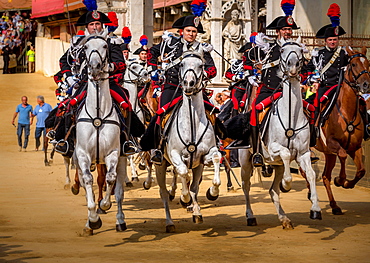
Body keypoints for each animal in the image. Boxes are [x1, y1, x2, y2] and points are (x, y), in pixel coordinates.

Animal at [75, 29, 127, 236]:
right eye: (86, 48)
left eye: (105, 46)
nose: (95, 67)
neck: (97, 113)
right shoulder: (82, 154)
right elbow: (87, 180)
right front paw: (93, 220)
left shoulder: (113, 153)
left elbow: (111, 180)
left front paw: (104, 205)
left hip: (122, 158)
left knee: (118, 189)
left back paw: (120, 220)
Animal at [155, 51, 221, 233]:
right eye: (181, 64)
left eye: (201, 65)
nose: (188, 84)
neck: (192, 122)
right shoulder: (175, 155)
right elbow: (183, 172)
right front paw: (184, 199)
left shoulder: (206, 155)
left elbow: (216, 160)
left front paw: (212, 192)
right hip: (160, 165)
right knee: (164, 193)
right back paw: (170, 222)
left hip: (198, 166)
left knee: (194, 187)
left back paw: (196, 211)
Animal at [240, 38, 320, 230]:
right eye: (283, 50)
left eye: (300, 51)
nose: (292, 66)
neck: (290, 115)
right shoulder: (273, 149)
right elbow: (285, 153)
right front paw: (286, 183)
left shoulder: (303, 153)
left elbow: (311, 175)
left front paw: (315, 209)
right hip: (246, 161)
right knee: (246, 186)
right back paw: (250, 216)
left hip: (277, 166)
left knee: (272, 191)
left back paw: (284, 218)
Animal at [308, 48, 370, 217]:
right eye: (353, 64)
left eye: (368, 63)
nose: (366, 84)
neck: (346, 112)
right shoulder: (332, 143)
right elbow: (342, 155)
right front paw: (341, 180)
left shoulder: (355, 147)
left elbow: (361, 171)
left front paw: (348, 183)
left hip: (328, 154)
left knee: (324, 176)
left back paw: (334, 205)